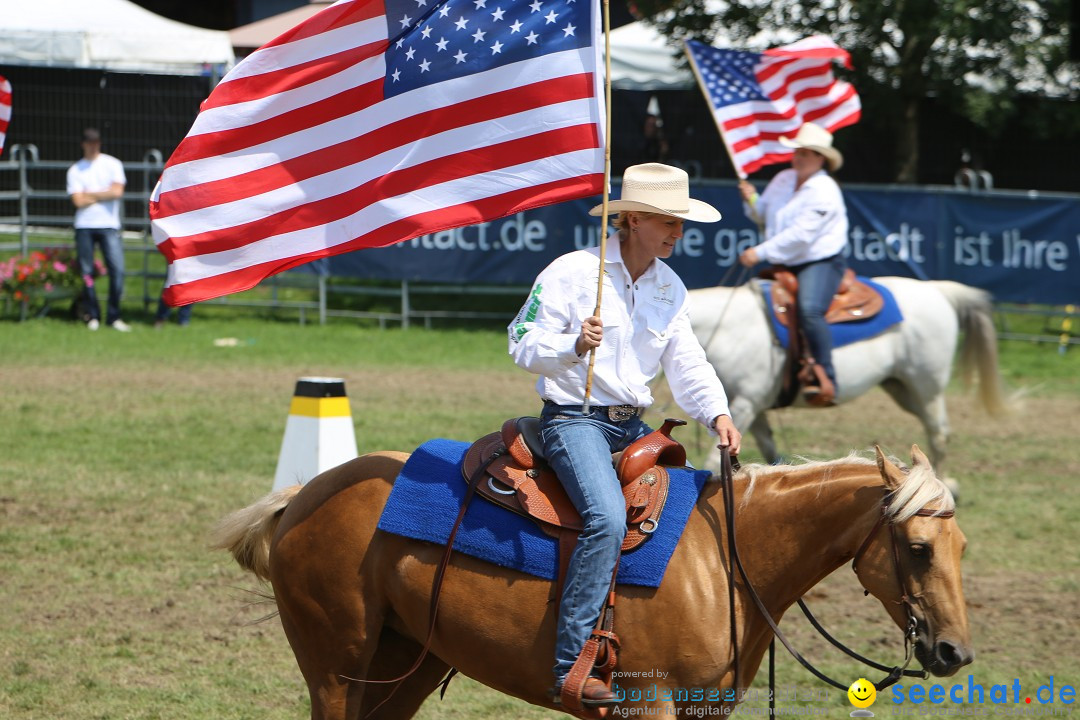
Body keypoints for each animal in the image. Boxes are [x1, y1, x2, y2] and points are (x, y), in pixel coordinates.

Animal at [214, 442, 976, 716]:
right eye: (916, 548)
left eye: (962, 545)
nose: (954, 652)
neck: (728, 562)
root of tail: (303, 496)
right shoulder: (650, 704)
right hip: (335, 669)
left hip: (407, 665)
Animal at [686, 278, 1006, 474]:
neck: (728, 328)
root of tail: (939, 290)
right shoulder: (751, 408)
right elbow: (770, 451)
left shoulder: (745, 404)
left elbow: (715, 461)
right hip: (902, 389)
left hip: (927, 388)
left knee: (938, 434)